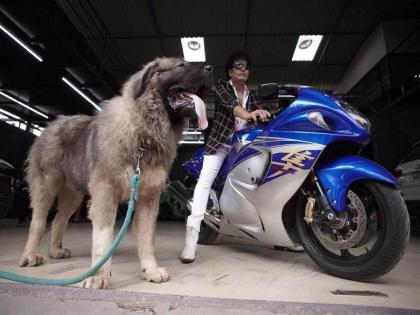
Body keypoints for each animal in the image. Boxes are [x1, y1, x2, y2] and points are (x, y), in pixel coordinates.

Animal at [18, 58, 213, 290]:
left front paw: (151, 269)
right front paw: (99, 276)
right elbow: (103, 238)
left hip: (74, 194)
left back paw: (56, 251)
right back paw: (31, 255)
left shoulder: (149, 196)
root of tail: (50, 125)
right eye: (181, 65)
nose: (210, 69)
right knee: (38, 222)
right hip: (46, 185)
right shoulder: (105, 193)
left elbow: (147, 238)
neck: (143, 134)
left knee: (58, 220)